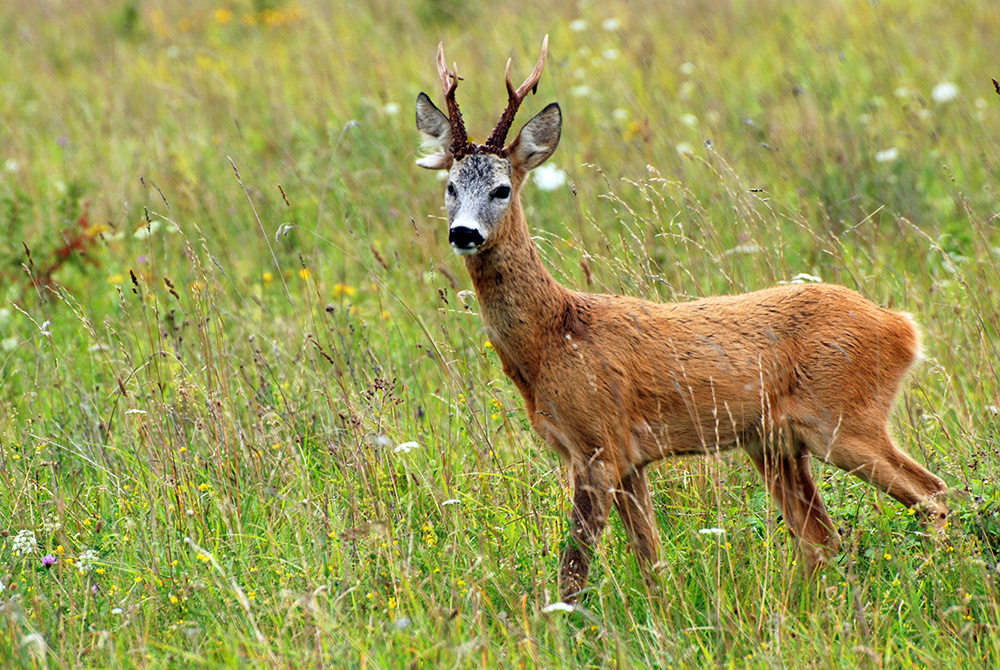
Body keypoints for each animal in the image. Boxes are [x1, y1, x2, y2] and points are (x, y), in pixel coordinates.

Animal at [418, 36, 948, 604]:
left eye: (502, 188)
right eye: (450, 186)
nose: (464, 233)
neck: (552, 338)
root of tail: (903, 327)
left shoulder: (599, 445)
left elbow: (573, 571)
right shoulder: (627, 460)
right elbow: (651, 560)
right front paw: (662, 612)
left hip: (845, 418)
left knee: (931, 494)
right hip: (776, 444)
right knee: (823, 540)